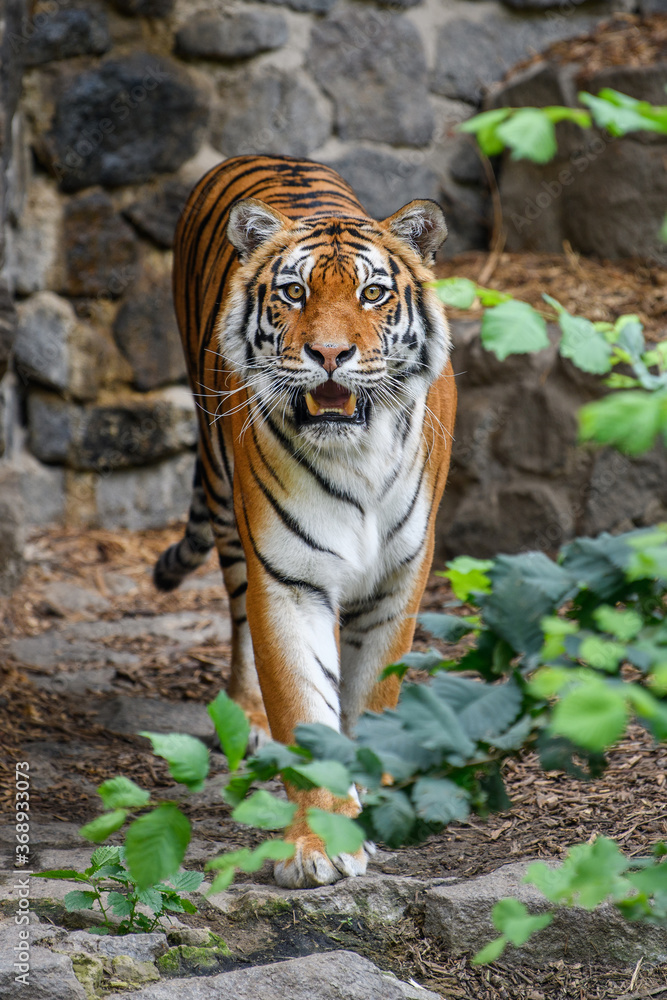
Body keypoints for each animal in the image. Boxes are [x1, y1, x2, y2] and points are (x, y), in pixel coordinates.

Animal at [154, 156, 456, 892]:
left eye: (373, 293)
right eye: (292, 293)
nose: (329, 354)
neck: (360, 454)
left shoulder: (400, 579)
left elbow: (373, 695)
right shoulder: (289, 578)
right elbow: (305, 706)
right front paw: (320, 843)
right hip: (225, 498)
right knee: (237, 613)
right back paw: (248, 718)